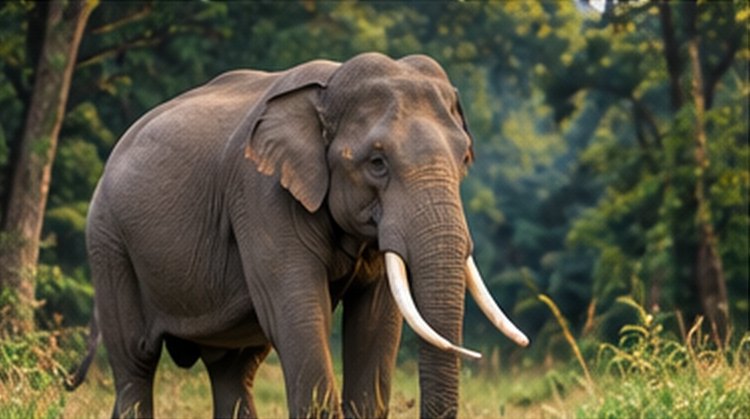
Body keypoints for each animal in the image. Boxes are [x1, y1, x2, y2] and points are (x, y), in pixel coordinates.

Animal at [65, 52, 529, 418]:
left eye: (464, 158)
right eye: (377, 163)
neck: (326, 90)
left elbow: (377, 319)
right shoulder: (259, 193)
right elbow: (299, 312)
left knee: (232, 371)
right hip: (108, 242)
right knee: (136, 362)